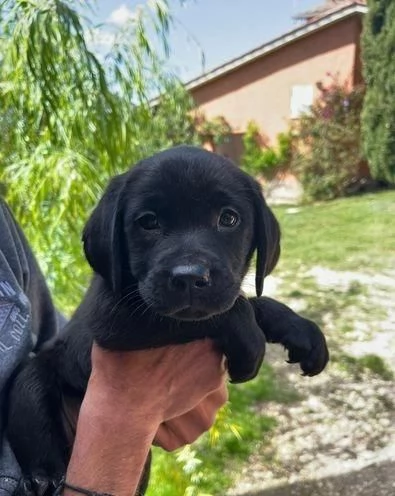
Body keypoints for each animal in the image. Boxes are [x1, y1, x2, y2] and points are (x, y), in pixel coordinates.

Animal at [7, 145, 330, 494]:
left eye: (229, 218)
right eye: (148, 222)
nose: (188, 278)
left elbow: (251, 301)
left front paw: (301, 331)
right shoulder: (116, 319)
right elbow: (225, 311)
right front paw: (250, 343)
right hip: (32, 385)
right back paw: (42, 479)